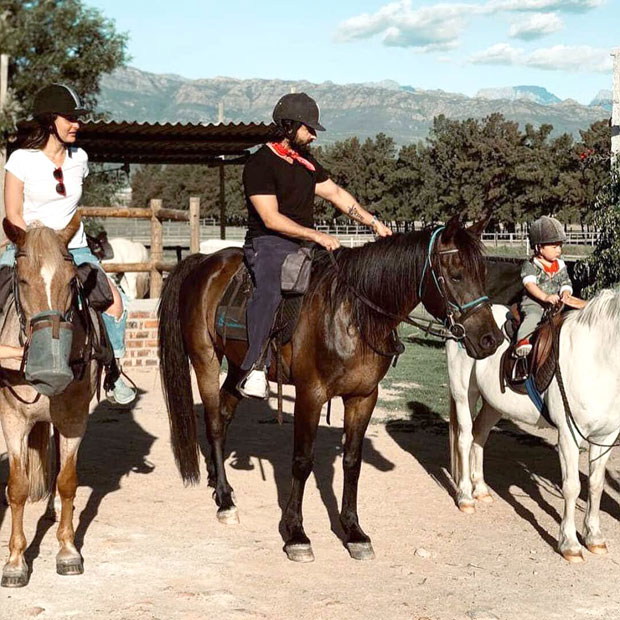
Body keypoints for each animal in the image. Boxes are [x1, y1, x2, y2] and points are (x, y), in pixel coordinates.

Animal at [160, 217, 504, 560]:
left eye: (483, 273)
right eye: (456, 274)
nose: (491, 339)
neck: (352, 316)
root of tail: (203, 262)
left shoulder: (363, 398)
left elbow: (352, 462)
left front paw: (353, 531)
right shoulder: (310, 396)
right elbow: (302, 462)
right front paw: (296, 533)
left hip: (238, 366)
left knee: (225, 413)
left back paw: (217, 479)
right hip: (205, 359)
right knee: (215, 423)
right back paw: (225, 500)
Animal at [446, 290, 620, 560]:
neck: (597, 359)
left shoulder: (606, 437)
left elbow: (596, 485)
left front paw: (594, 538)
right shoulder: (569, 435)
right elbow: (572, 486)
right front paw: (569, 544)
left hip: (494, 404)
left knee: (479, 435)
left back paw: (481, 490)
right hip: (465, 394)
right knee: (465, 439)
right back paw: (465, 497)